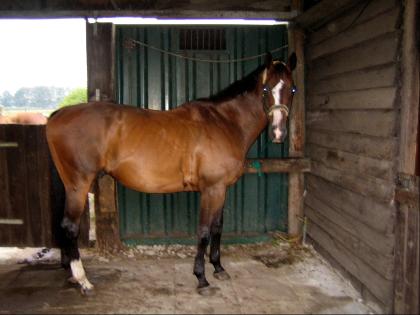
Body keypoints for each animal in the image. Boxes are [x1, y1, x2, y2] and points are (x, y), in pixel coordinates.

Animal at [46, 52, 296, 296]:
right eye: (266, 90)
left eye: (292, 89)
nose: (278, 132)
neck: (224, 122)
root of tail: (56, 115)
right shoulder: (211, 189)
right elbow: (204, 231)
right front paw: (201, 279)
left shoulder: (221, 189)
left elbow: (217, 227)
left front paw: (218, 268)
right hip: (79, 184)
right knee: (70, 226)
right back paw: (84, 281)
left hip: (70, 185)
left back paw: (72, 275)